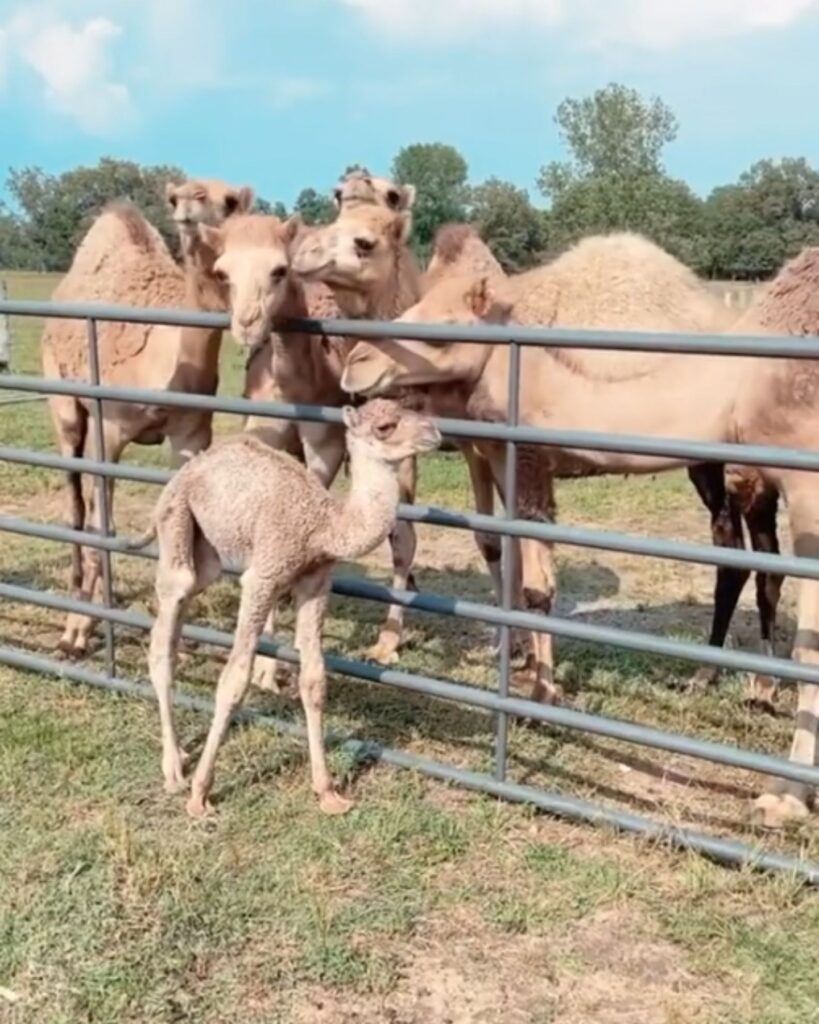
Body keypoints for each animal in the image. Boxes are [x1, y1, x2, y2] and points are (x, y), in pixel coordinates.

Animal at [41, 178, 253, 657]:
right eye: (176, 198)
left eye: (230, 201)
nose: (192, 202)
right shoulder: (109, 431)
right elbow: (102, 525)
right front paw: (78, 633)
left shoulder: (191, 437)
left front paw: (178, 637)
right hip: (64, 405)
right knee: (76, 506)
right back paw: (75, 610)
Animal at [133, 398, 441, 817]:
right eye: (385, 426)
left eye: (412, 409)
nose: (435, 433)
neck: (323, 526)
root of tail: (184, 471)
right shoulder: (262, 577)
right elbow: (233, 681)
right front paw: (200, 795)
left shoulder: (315, 583)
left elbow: (314, 680)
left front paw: (328, 793)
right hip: (176, 521)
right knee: (166, 624)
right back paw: (174, 770)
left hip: (206, 553)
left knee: (181, 611)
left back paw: (180, 753)